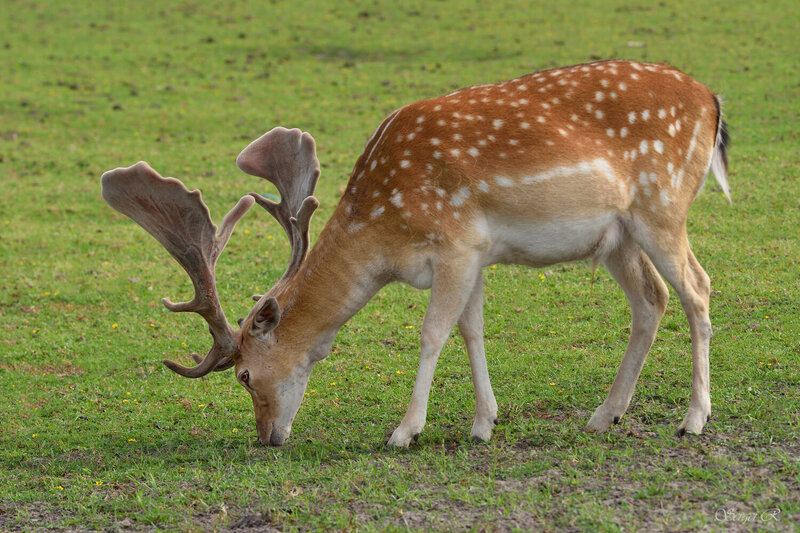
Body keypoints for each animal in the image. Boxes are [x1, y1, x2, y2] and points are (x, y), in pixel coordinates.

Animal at [101, 60, 730, 447]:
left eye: (245, 376)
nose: (266, 437)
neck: (386, 235)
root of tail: (712, 100)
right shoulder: (476, 254)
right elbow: (472, 330)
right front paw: (483, 423)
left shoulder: (455, 245)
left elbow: (432, 334)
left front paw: (405, 432)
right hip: (617, 236)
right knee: (652, 299)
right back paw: (605, 414)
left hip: (662, 204)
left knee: (697, 288)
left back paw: (693, 420)